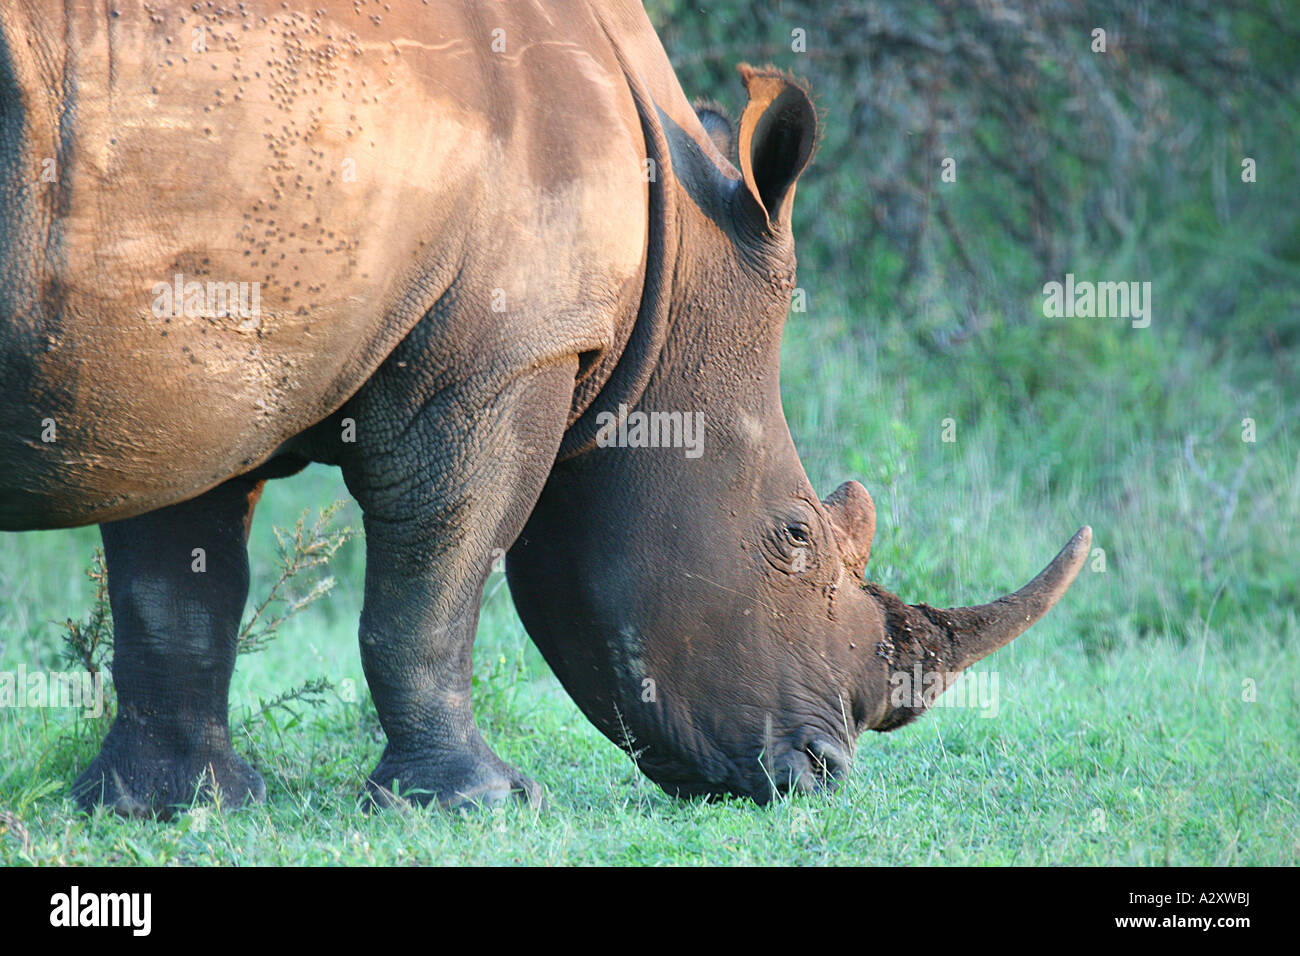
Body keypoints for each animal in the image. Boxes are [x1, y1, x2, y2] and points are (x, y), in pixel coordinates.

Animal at [0, 0, 1086, 816]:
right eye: (792, 536)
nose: (822, 775)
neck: (674, 275)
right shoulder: (508, 354)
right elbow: (435, 583)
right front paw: (481, 802)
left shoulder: (187, 356)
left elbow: (178, 583)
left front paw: (169, 804)